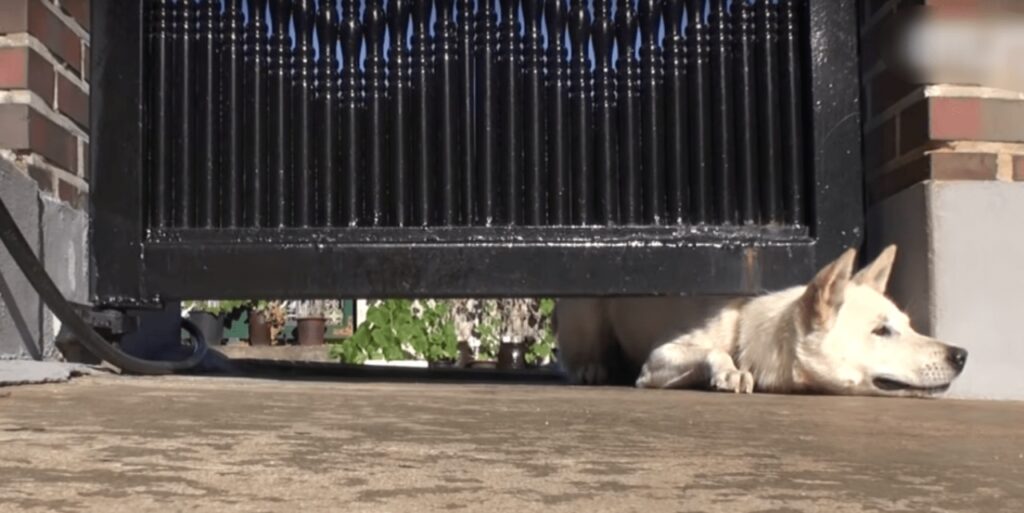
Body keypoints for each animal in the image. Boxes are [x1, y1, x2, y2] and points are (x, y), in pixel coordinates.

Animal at [561, 245, 966, 397]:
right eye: (881, 331)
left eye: (909, 325)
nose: (961, 355)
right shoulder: (657, 359)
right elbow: (713, 352)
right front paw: (730, 371)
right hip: (583, 313)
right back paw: (591, 367)